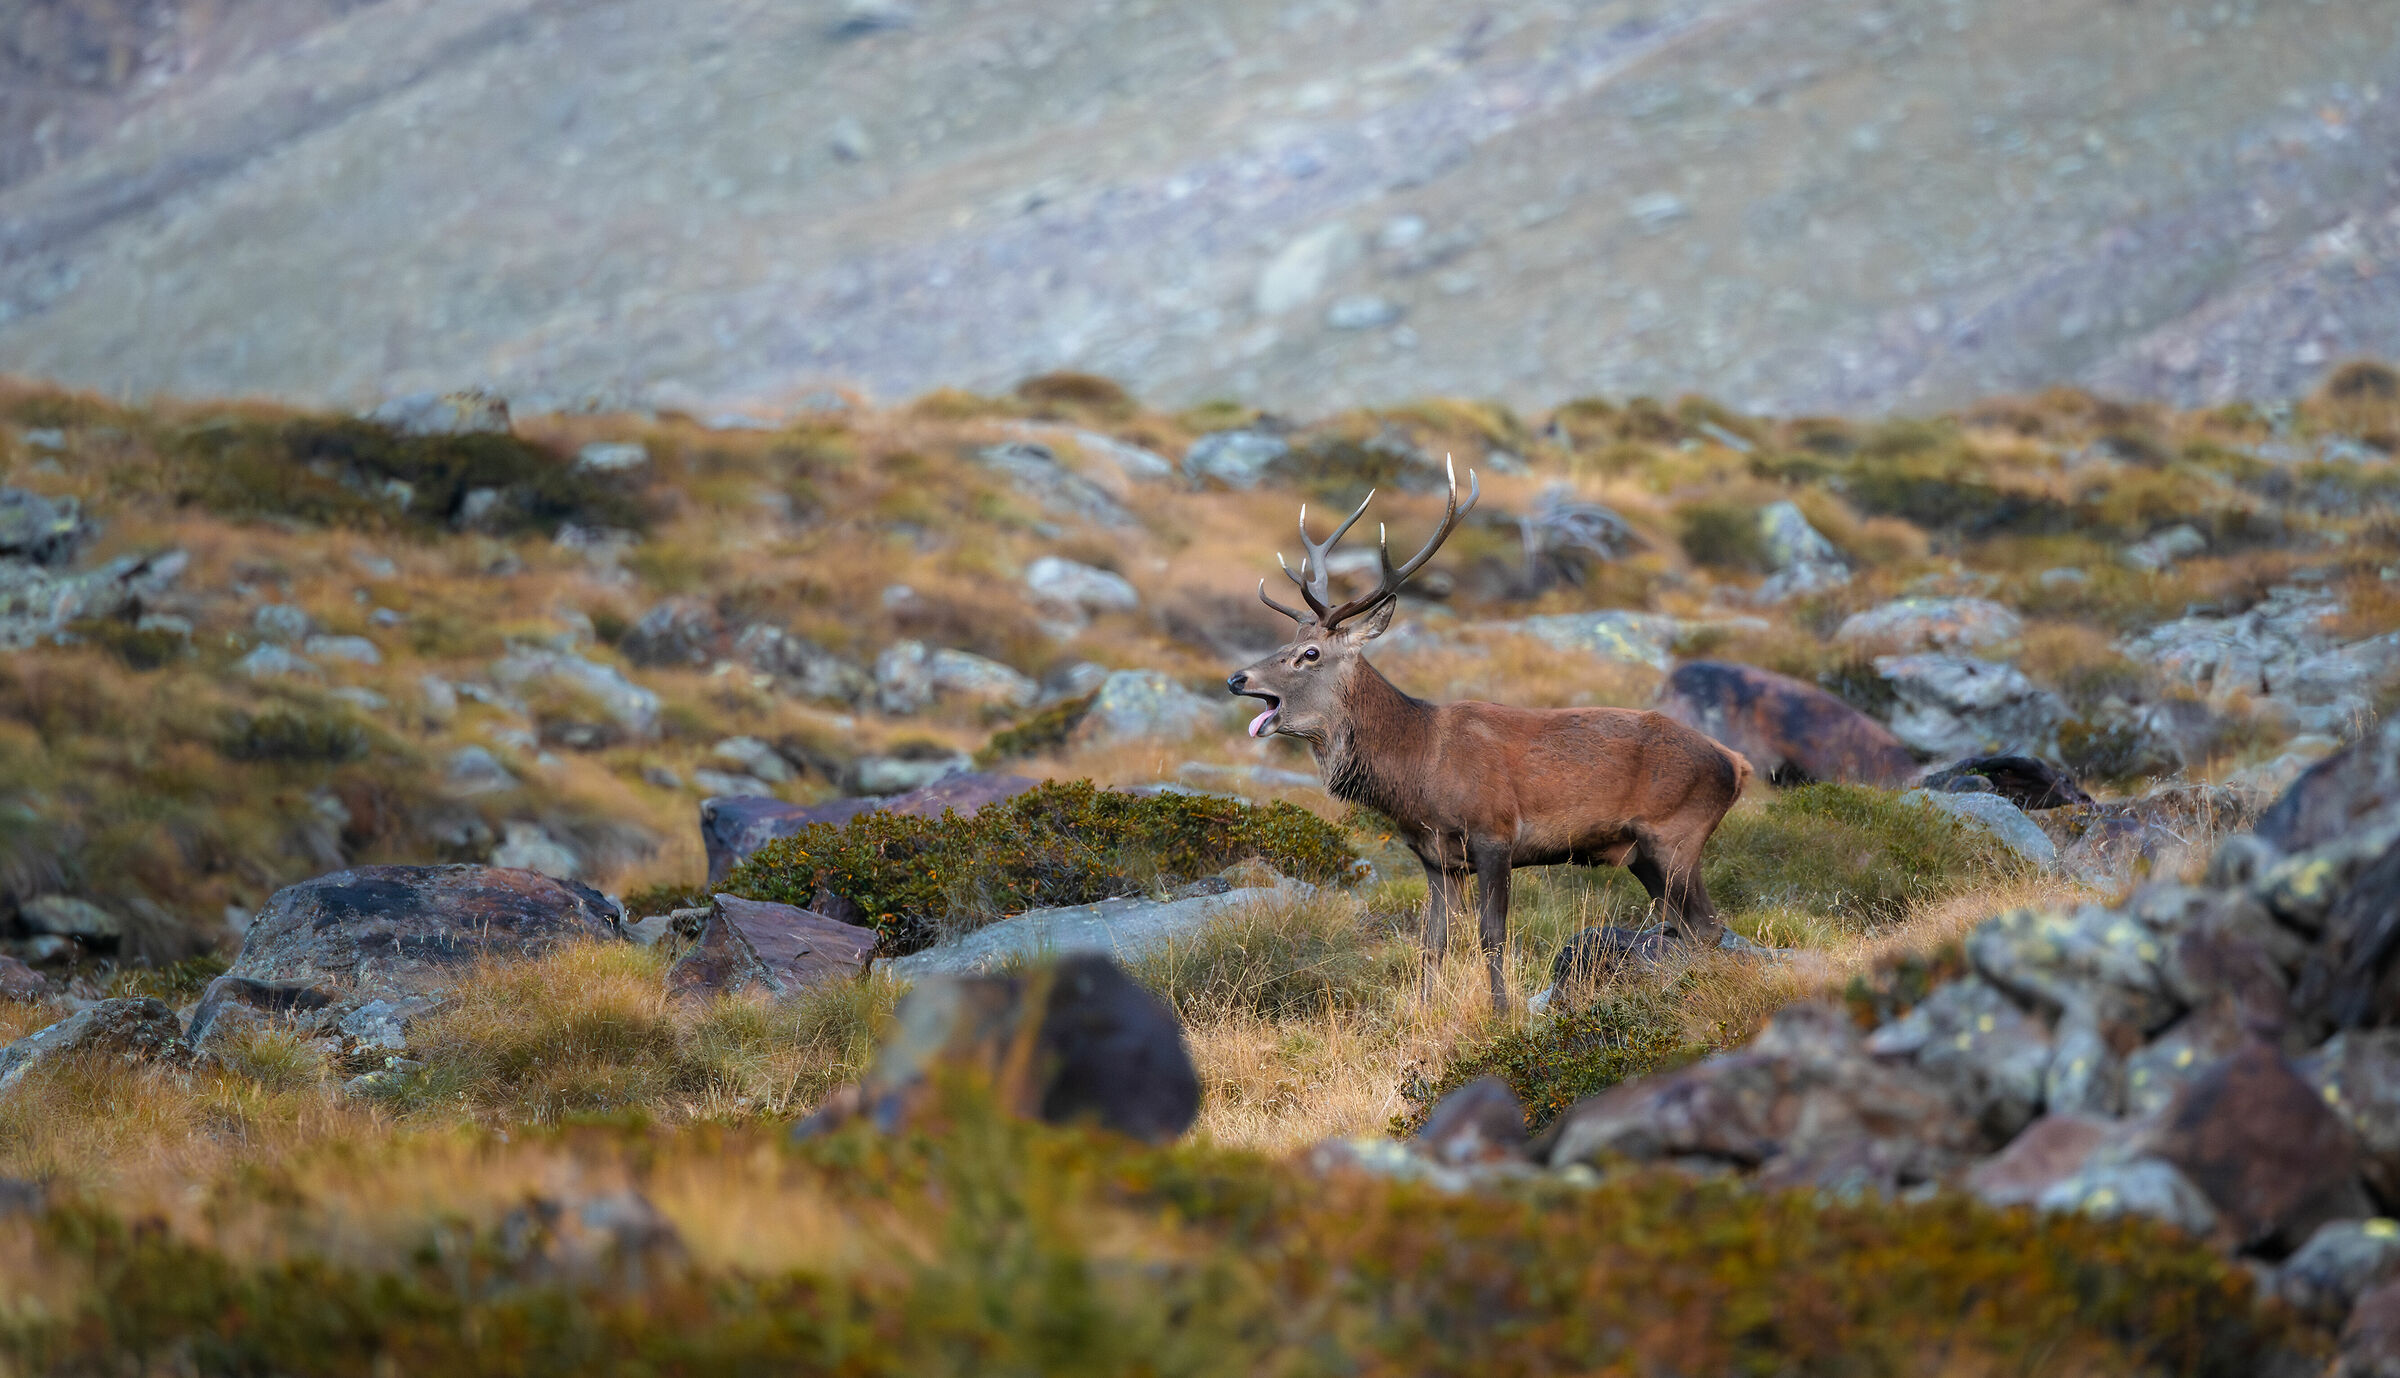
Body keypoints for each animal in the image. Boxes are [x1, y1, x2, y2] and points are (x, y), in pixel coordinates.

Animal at [1225, 459, 1753, 1013]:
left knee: (1706, 927)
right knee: (1687, 927)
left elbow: (1491, 934)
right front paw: (1425, 1010)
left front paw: (1501, 1012)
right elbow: (1433, 941)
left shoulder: (1495, 833)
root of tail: (1737, 763)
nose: (1237, 678)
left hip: (1675, 834)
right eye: (1290, 642)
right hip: (1642, 853)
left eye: (1309, 654)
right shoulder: (1435, 857)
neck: (1418, 769)